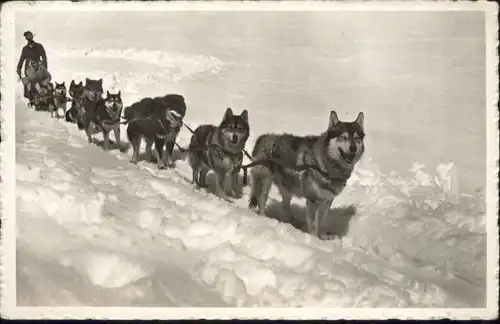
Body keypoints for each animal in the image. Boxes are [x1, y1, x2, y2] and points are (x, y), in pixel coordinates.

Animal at [249, 110, 364, 238]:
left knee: (285, 205)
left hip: (287, 186)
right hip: (265, 182)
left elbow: (321, 221)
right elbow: (313, 225)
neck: (327, 168)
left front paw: (321, 237)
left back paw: (294, 222)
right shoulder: (313, 200)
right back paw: (264, 219)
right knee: (261, 201)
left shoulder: (327, 201)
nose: (353, 148)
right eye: (343, 137)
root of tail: (264, 137)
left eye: (356, 138)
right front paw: (314, 239)